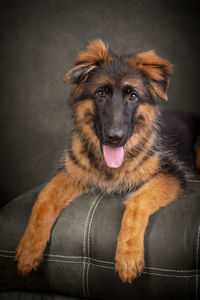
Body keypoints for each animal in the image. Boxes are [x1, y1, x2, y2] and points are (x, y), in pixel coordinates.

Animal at [15, 39, 200, 284]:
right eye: (101, 93)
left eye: (133, 96)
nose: (115, 137)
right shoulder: (71, 173)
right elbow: (44, 199)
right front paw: (29, 248)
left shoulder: (172, 173)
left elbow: (137, 202)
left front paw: (128, 256)